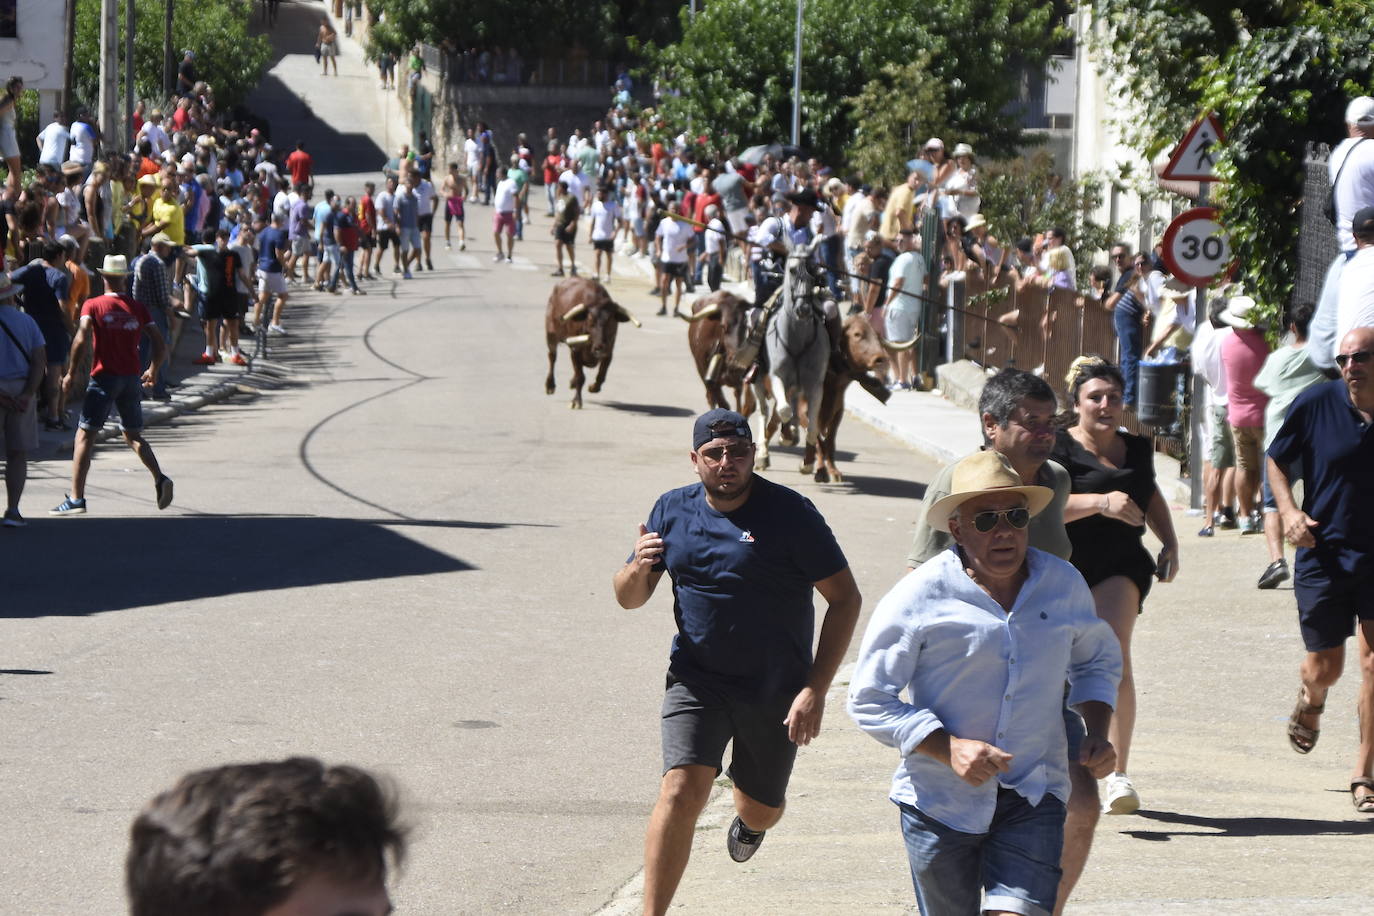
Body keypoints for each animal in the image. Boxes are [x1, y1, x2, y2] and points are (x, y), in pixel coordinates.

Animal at [541, 276, 637, 411]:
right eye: (590, 319)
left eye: (610, 320)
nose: (599, 347)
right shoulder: (575, 350)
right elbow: (580, 377)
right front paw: (576, 401)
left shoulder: (609, 351)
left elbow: (601, 375)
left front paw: (593, 387)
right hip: (551, 335)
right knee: (552, 357)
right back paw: (550, 386)